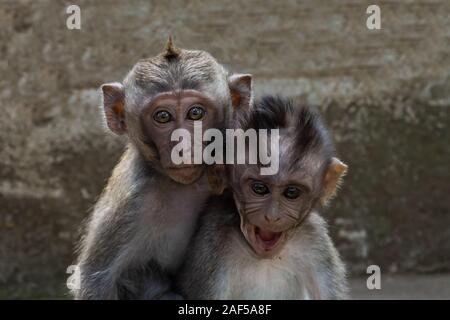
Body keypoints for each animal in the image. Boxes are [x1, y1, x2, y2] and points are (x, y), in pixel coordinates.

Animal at [74, 38, 253, 300]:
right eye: (162, 117)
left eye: (195, 113)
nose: (182, 145)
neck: (188, 185)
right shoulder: (132, 202)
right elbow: (96, 279)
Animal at [178, 95, 350, 300]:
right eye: (259, 188)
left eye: (292, 192)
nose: (272, 217)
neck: (263, 257)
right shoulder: (213, 242)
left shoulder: (314, 238)